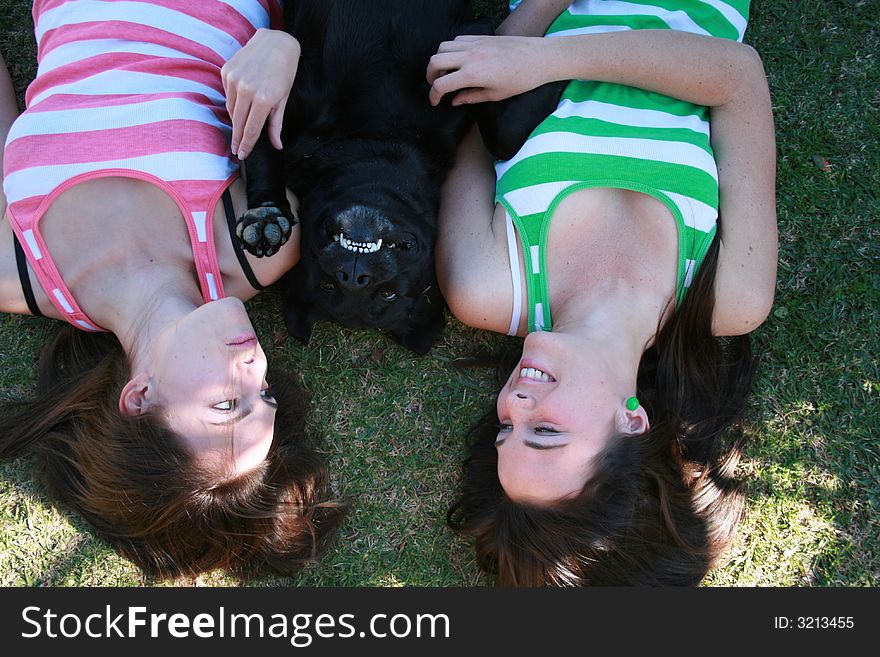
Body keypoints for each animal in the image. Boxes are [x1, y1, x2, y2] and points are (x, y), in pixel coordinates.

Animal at [241, 0, 568, 354]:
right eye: (328, 285)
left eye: (388, 294)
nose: (353, 274)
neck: (379, 141)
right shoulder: (284, 103)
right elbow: (257, 145)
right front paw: (266, 214)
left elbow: (499, 132)